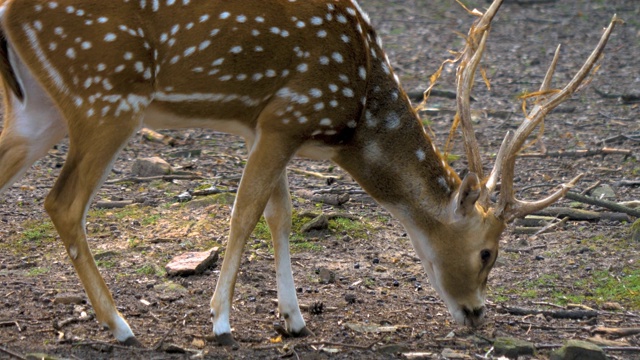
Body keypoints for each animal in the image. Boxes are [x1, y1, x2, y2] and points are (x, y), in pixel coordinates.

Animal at [0, 0, 620, 346]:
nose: (475, 314)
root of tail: (9, 11)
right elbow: (244, 213)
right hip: (108, 94)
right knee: (62, 202)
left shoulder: (262, 125)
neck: (357, 108)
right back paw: (121, 326)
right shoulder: (288, 113)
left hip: (42, 108)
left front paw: (293, 320)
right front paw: (220, 323)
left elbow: (279, 214)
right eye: (488, 251)